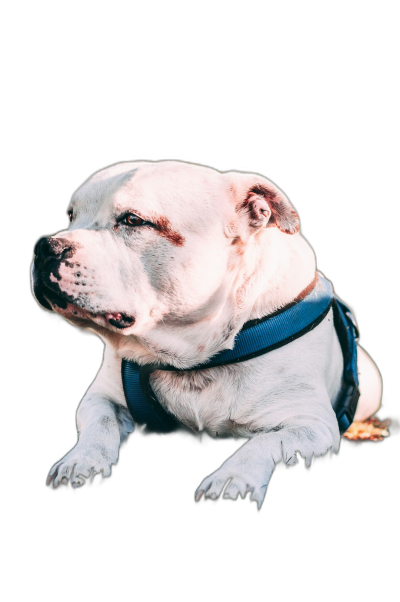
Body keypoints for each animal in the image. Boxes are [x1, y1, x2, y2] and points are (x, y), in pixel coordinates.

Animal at [30, 161, 382, 506]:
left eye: (133, 220)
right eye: (71, 217)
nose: (45, 245)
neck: (192, 353)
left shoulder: (311, 424)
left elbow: (264, 443)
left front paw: (233, 479)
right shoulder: (102, 396)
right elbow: (98, 426)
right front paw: (80, 461)